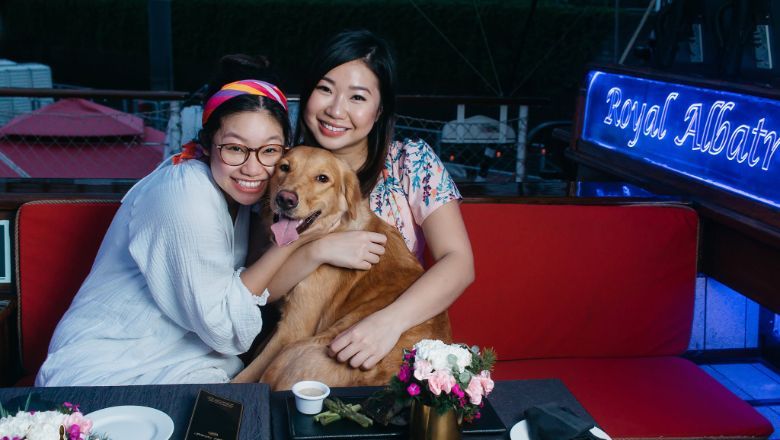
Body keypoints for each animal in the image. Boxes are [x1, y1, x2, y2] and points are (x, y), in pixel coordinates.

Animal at [242, 146, 450, 390]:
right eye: (284, 167)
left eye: (322, 178)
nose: (285, 199)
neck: (336, 227)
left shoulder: (292, 330)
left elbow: (244, 376)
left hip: (295, 351)